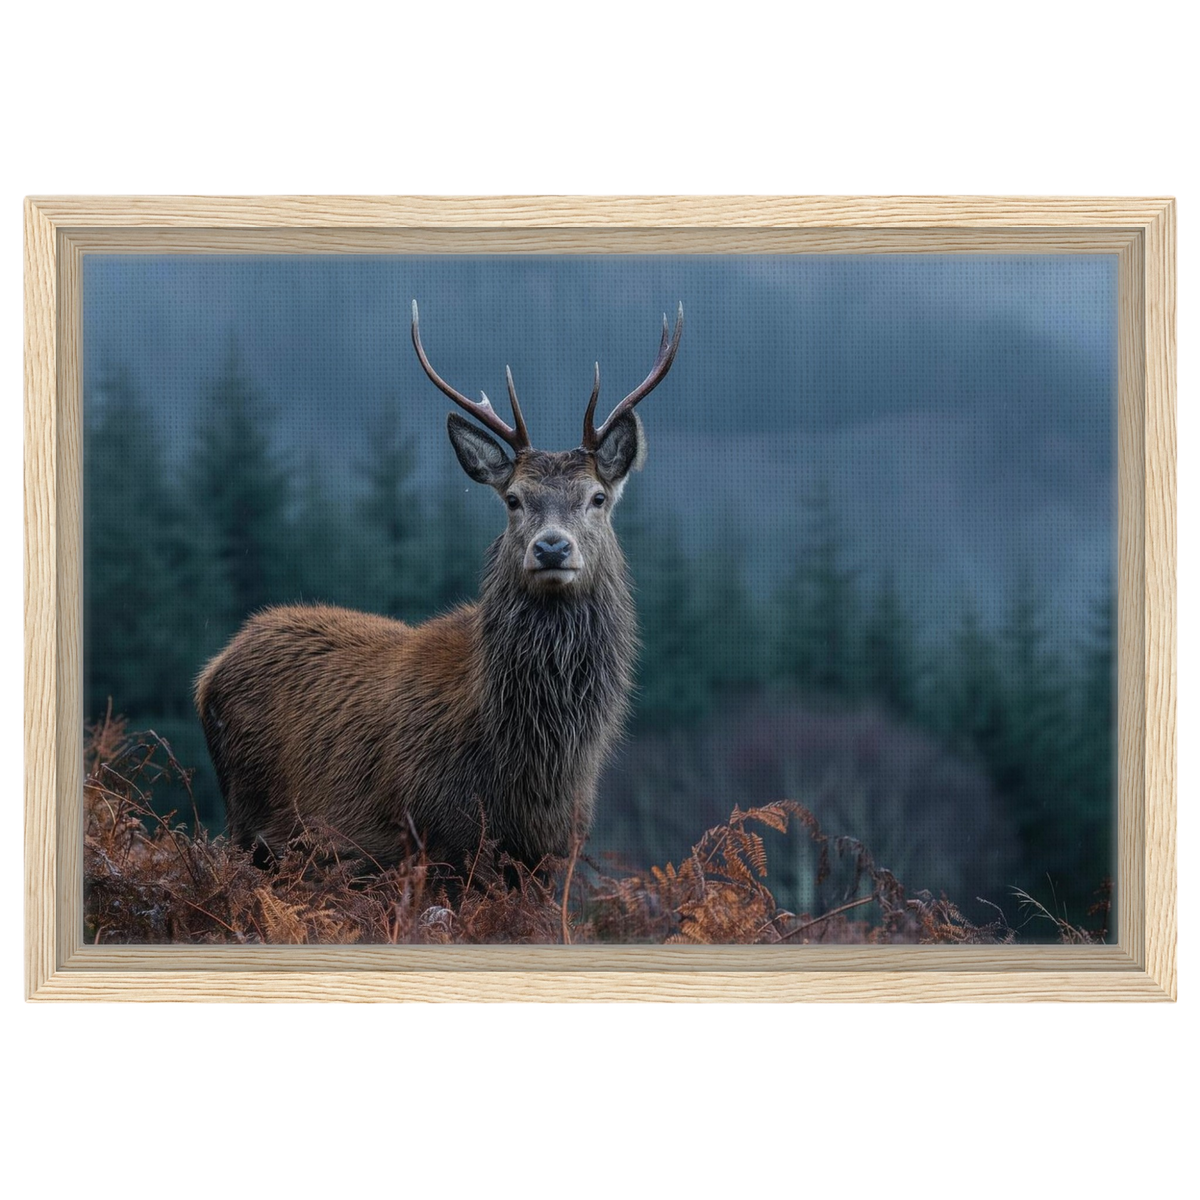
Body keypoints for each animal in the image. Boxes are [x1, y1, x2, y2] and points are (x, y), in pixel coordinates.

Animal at [194, 300, 683, 881]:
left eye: (597, 497)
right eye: (514, 499)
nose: (551, 548)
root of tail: (210, 671)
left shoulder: (553, 854)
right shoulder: (438, 840)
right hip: (250, 822)